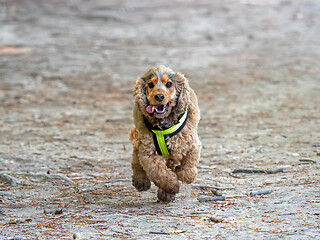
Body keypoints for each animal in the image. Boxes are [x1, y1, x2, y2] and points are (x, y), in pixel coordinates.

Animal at [128, 64, 200, 202]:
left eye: (169, 84)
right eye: (150, 85)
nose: (159, 96)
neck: (164, 124)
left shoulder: (192, 144)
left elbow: (189, 167)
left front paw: (183, 175)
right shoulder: (148, 152)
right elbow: (159, 172)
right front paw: (172, 186)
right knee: (136, 155)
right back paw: (141, 181)